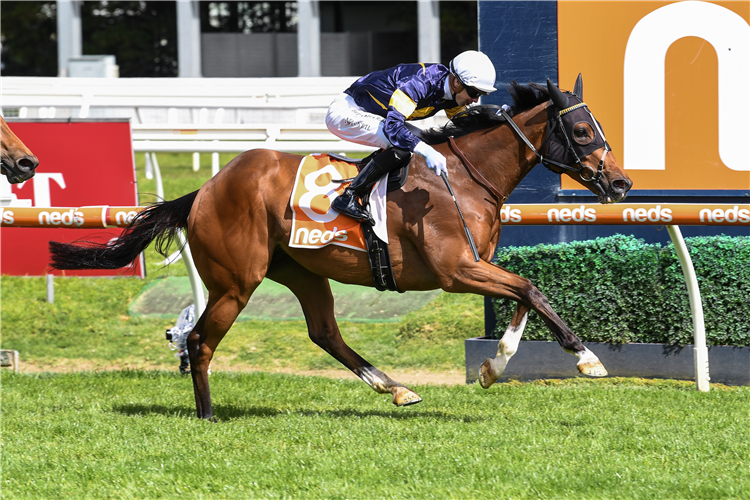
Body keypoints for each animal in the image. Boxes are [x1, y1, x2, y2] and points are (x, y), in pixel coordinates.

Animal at [50, 77, 632, 418]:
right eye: (582, 131)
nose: (621, 184)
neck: (466, 178)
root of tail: (207, 189)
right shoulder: (455, 270)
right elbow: (531, 290)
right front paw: (587, 360)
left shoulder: (476, 264)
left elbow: (524, 296)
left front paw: (495, 367)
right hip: (237, 282)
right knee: (199, 342)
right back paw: (207, 414)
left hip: (301, 271)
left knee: (324, 333)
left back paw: (395, 388)